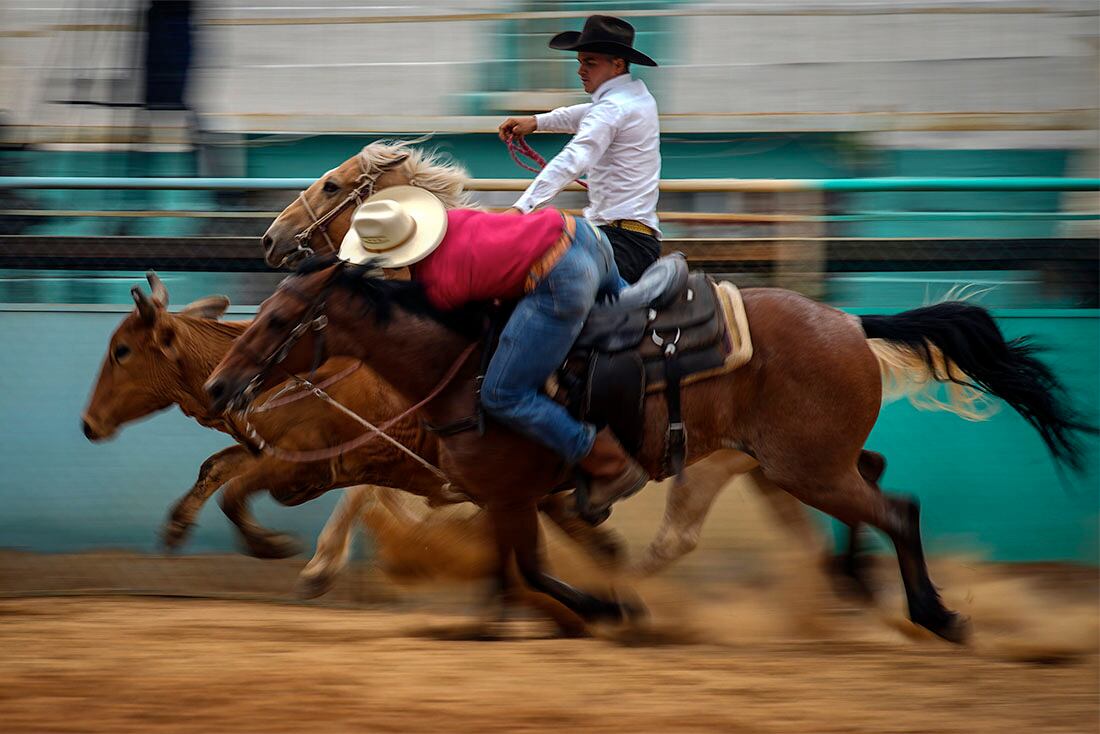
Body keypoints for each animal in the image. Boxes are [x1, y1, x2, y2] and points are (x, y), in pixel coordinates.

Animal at [204, 257, 1091, 642]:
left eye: (279, 319)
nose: (217, 386)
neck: (466, 365)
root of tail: (850, 320)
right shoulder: (500, 496)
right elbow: (512, 568)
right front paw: (519, 617)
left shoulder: (514, 493)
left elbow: (531, 567)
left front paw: (605, 606)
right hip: (805, 462)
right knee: (873, 487)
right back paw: (859, 585)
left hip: (803, 466)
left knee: (897, 508)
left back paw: (934, 614)